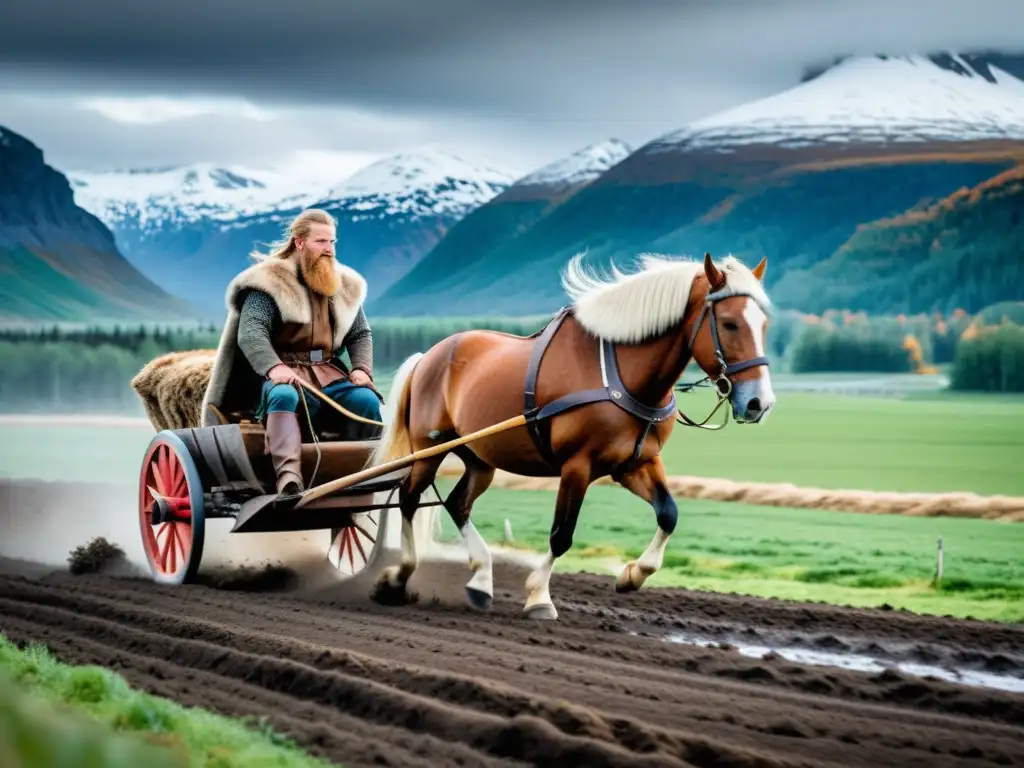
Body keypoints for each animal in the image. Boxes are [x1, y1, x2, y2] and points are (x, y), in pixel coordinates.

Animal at [372, 252, 770, 618]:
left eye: (764, 324)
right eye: (730, 324)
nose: (758, 403)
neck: (621, 378)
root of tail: (430, 355)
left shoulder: (636, 463)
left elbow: (668, 514)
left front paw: (633, 574)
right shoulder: (577, 466)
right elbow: (562, 534)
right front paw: (539, 596)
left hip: (480, 457)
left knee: (457, 503)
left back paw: (481, 577)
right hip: (430, 448)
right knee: (408, 498)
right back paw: (398, 577)